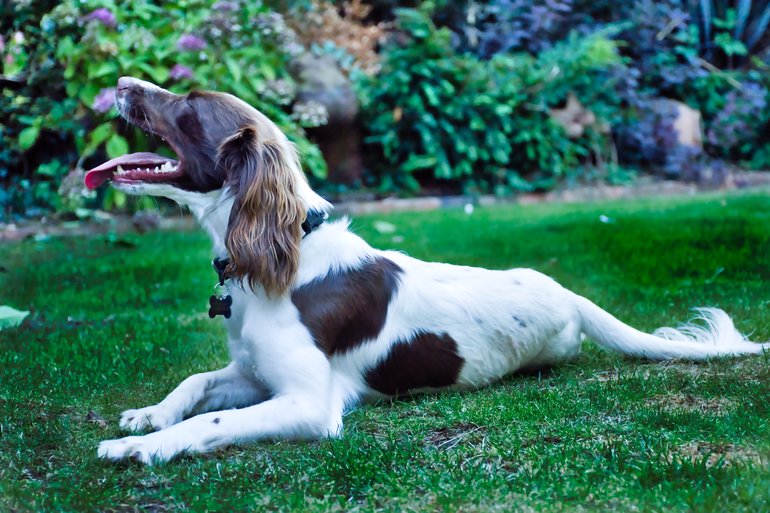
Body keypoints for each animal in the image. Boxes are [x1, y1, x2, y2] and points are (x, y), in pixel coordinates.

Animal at [87, 77, 764, 464]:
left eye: (189, 105)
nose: (120, 81)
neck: (288, 255)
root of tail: (567, 292)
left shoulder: (309, 400)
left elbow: (215, 420)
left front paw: (140, 446)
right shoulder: (253, 372)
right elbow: (197, 383)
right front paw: (148, 416)